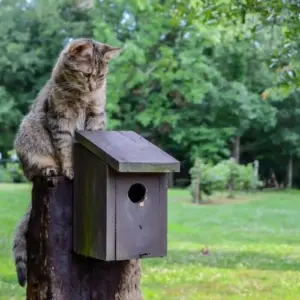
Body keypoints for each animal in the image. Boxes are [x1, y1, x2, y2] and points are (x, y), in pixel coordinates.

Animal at [11, 37, 122, 286]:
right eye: (86, 74)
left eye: (101, 76)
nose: (93, 86)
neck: (82, 97)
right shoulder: (60, 119)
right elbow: (66, 148)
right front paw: (70, 167)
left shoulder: (96, 115)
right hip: (29, 130)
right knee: (34, 170)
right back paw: (49, 169)